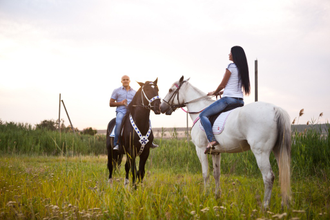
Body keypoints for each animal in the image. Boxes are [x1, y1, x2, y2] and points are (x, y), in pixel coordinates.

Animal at [160, 75, 292, 208]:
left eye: (171, 90)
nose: (161, 107)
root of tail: (275, 109)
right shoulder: (215, 152)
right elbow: (216, 174)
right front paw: (216, 196)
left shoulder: (200, 149)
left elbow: (205, 174)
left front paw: (205, 196)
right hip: (277, 149)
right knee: (283, 173)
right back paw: (284, 205)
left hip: (261, 152)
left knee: (268, 177)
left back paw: (264, 207)